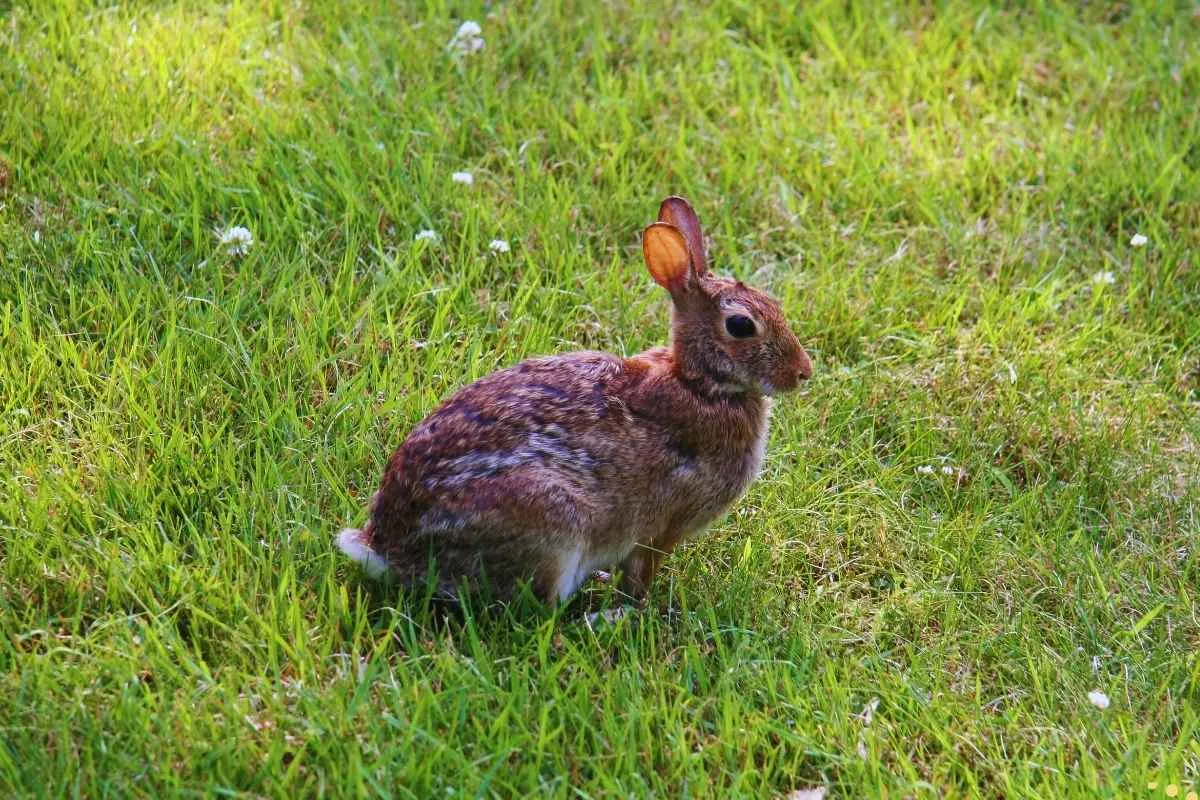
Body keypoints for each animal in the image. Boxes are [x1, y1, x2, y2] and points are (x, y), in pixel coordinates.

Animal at [333, 196, 811, 604]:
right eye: (741, 326)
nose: (803, 373)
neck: (700, 384)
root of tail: (390, 551)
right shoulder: (660, 530)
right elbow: (640, 577)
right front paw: (632, 610)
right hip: (553, 525)